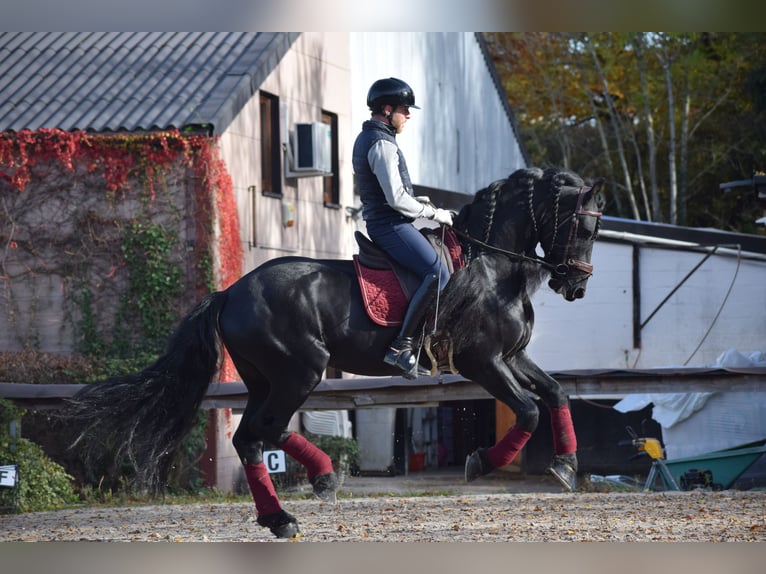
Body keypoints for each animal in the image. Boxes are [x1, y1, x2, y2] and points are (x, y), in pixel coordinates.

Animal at [67, 166, 603, 539]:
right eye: (584, 228)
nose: (575, 287)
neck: (492, 265)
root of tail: (230, 292)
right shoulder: (483, 362)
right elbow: (528, 410)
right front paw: (482, 463)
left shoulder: (512, 358)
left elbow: (555, 393)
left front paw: (565, 466)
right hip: (300, 371)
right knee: (264, 431)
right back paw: (313, 487)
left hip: (267, 378)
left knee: (252, 436)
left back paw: (287, 512)